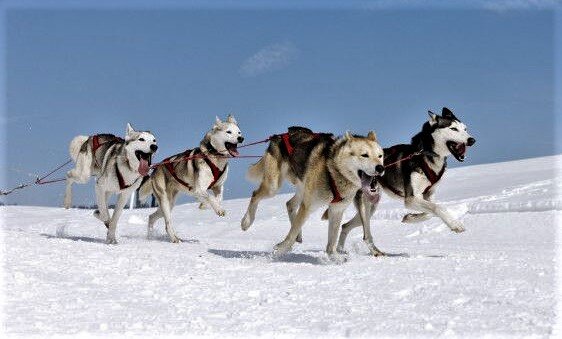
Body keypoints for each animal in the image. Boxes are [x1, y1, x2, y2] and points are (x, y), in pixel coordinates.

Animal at [138, 115, 243, 243]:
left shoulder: (218, 186)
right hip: (164, 201)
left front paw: (207, 206)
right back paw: (173, 238)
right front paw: (218, 209)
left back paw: (152, 236)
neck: (214, 156)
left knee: (151, 217)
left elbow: (218, 198)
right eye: (229, 132)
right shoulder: (199, 189)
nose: (241, 138)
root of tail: (156, 168)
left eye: (239, 132)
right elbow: (211, 197)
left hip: (169, 203)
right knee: (167, 223)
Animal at [241, 128, 384, 258]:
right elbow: (290, 235)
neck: (333, 170)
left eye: (380, 156)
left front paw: (334, 257)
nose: (381, 168)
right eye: (364, 155)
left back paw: (298, 235)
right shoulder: (308, 206)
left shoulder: (336, 209)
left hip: (302, 189)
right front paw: (279, 251)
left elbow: (332, 241)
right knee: (255, 195)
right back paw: (246, 222)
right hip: (273, 187)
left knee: (290, 205)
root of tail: (278, 136)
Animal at [334, 107, 474, 255]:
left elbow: (430, 213)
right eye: (453, 129)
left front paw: (409, 218)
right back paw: (375, 252)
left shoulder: (428, 195)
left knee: (345, 226)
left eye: (465, 129)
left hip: (371, 207)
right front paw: (455, 224)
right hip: (366, 206)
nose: (472, 140)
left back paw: (340, 250)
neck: (425, 155)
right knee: (366, 234)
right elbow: (438, 207)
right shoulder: (411, 198)